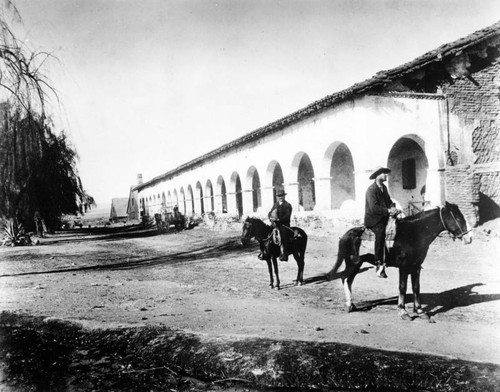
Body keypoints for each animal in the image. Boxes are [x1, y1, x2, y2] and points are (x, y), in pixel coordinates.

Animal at [328, 202, 472, 322]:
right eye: (458, 218)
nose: (470, 238)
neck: (413, 233)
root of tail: (347, 234)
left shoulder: (416, 266)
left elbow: (416, 287)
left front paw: (420, 311)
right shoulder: (404, 267)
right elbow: (402, 287)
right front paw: (403, 312)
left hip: (357, 263)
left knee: (348, 280)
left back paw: (351, 304)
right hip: (353, 263)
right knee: (344, 277)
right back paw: (349, 304)